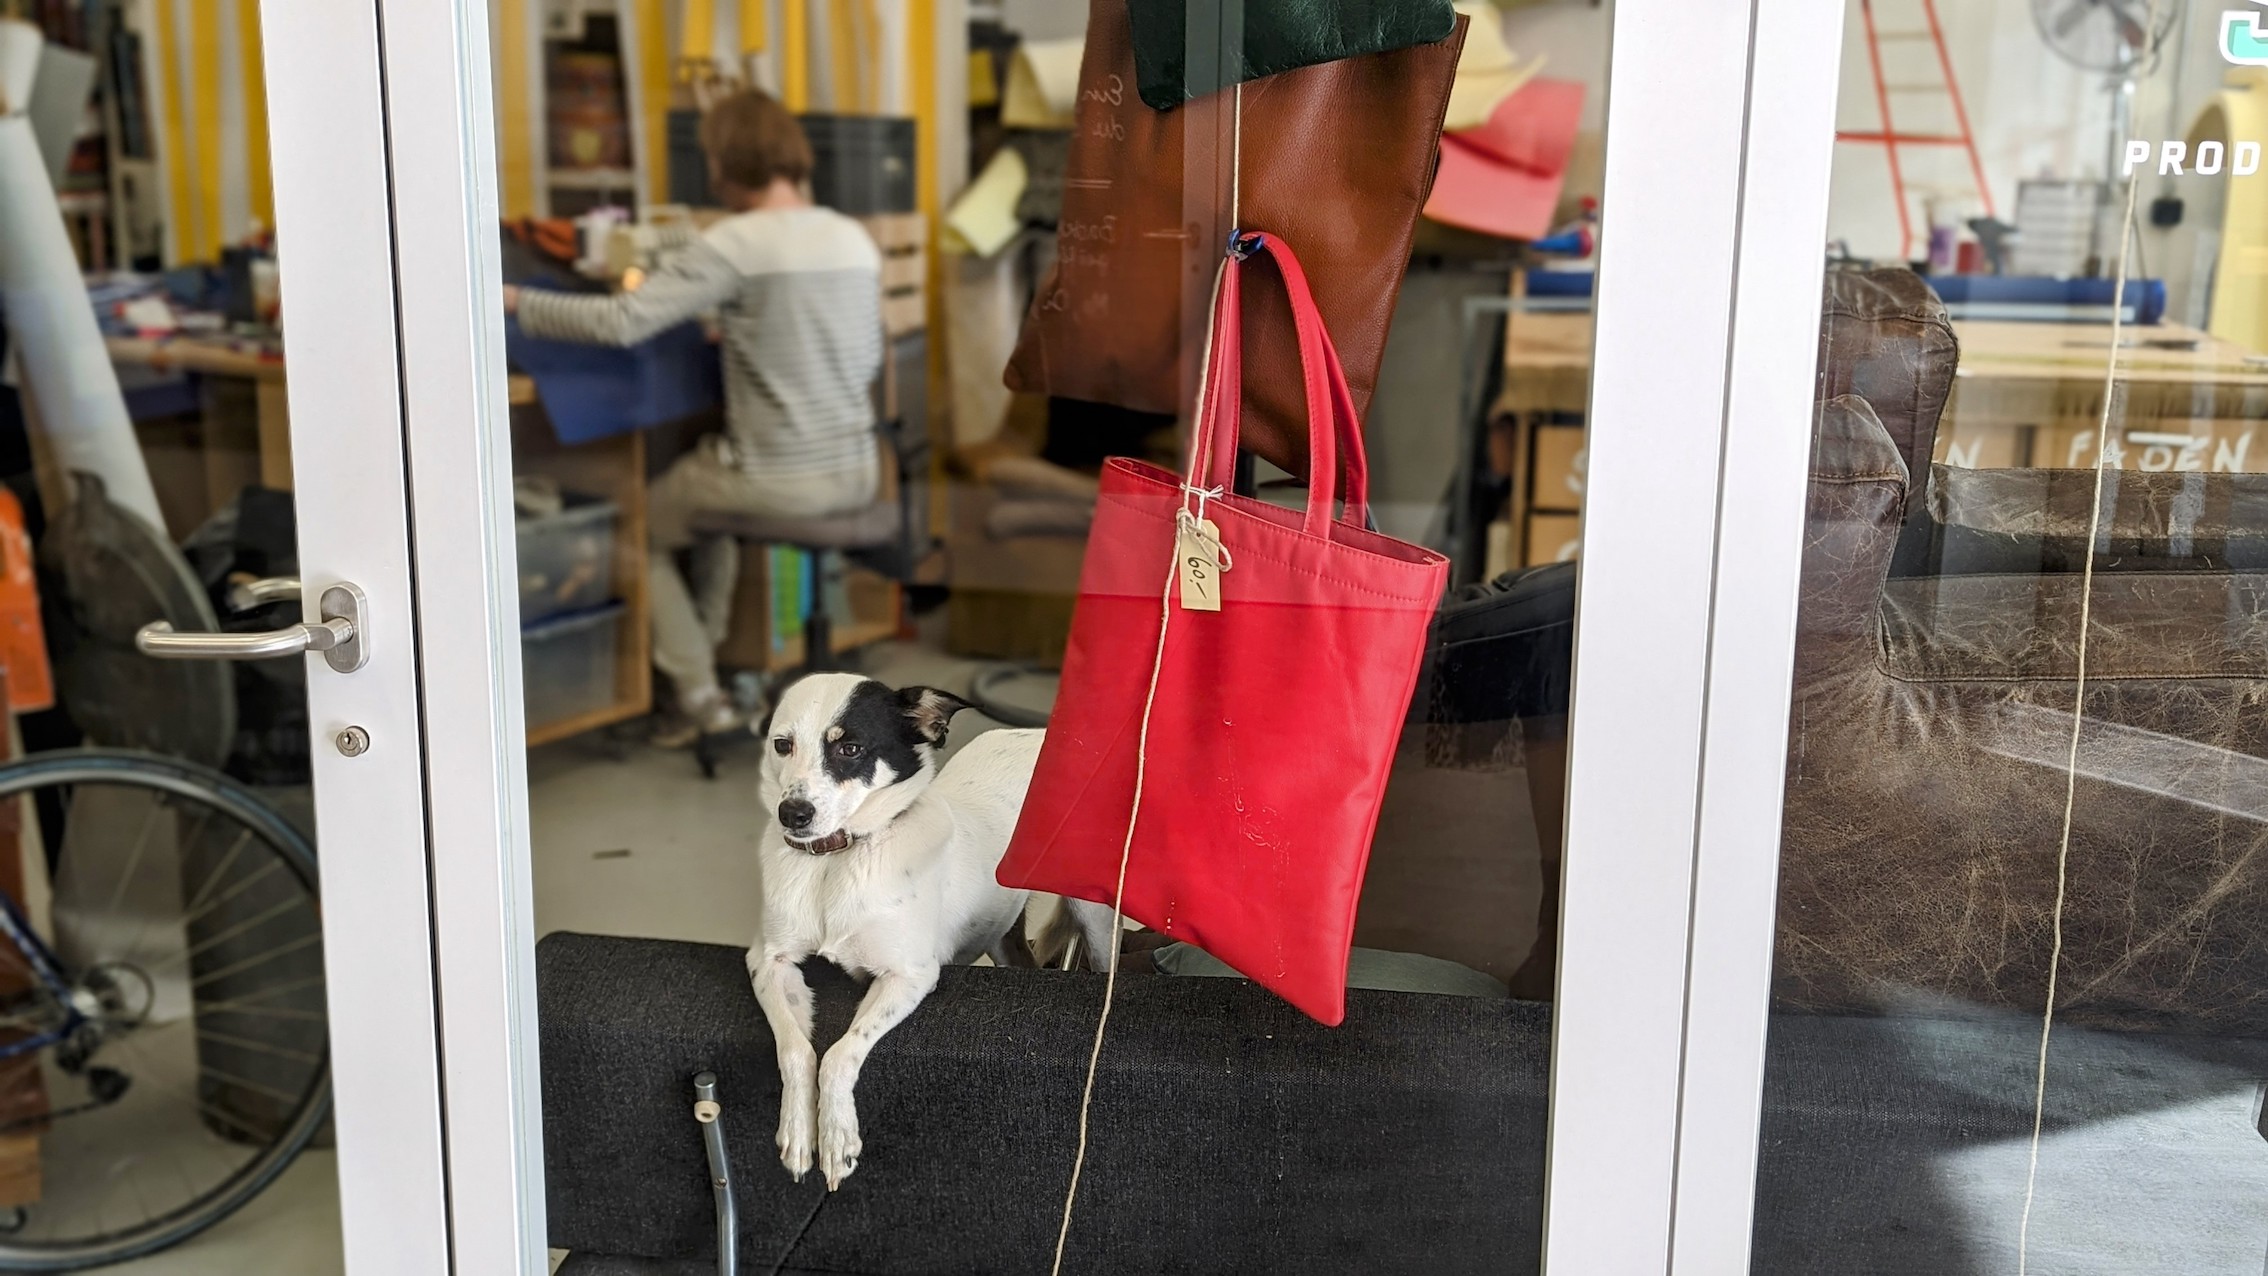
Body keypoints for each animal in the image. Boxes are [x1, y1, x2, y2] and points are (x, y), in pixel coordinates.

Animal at [748, 675, 1111, 1196]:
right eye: (782, 745)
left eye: (850, 748)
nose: (792, 814)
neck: (837, 859)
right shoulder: (768, 961)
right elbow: (797, 1049)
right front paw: (798, 1133)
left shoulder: (910, 976)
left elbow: (840, 1053)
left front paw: (838, 1139)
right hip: (1001, 932)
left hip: (1092, 915)